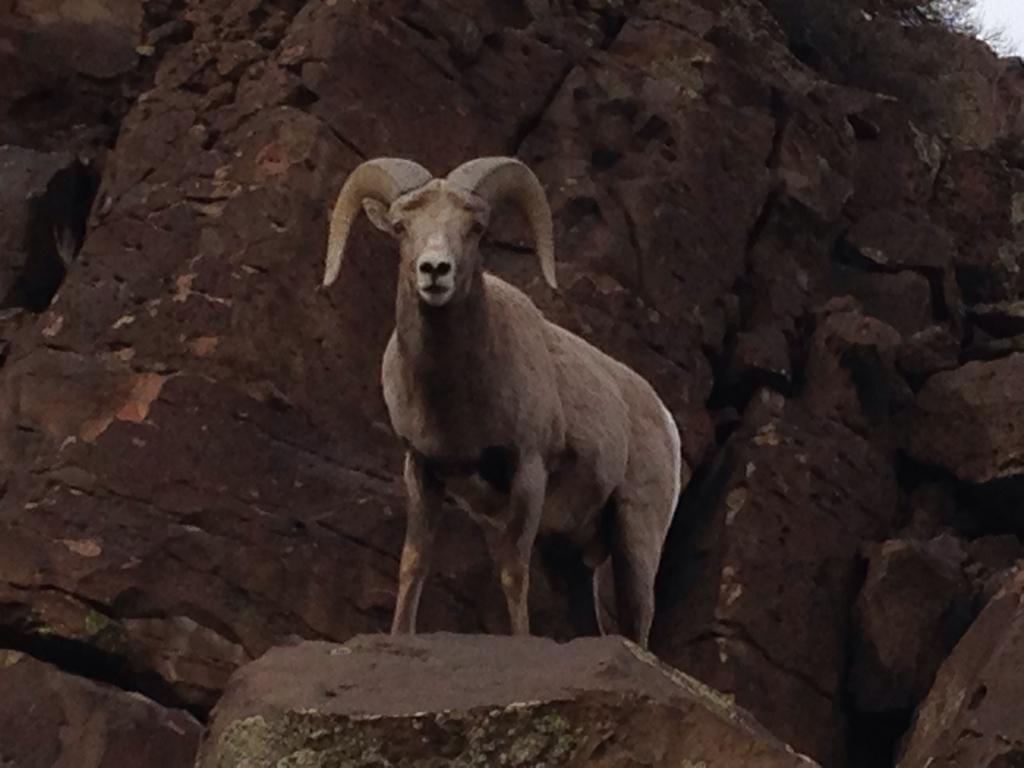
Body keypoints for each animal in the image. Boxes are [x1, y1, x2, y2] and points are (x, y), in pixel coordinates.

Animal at [322, 156, 682, 648]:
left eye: (476, 228)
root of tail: (665, 420)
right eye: (400, 227)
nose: (435, 271)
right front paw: (399, 636)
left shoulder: (527, 471)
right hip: (568, 556)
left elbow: (513, 572)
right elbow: (413, 562)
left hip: (636, 535)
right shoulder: (422, 469)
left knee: (637, 622)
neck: (459, 401)